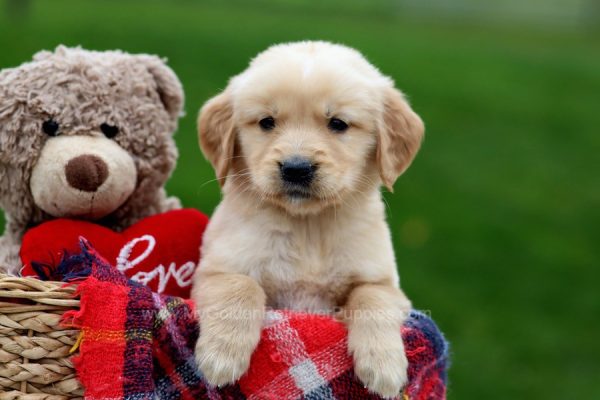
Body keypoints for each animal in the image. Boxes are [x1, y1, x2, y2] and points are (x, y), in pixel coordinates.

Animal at [195, 40, 424, 396]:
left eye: (338, 124)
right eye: (266, 122)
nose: (296, 168)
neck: (308, 227)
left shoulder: (385, 283)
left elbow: (372, 298)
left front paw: (384, 367)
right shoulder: (213, 270)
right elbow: (241, 285)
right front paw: (222, 355)